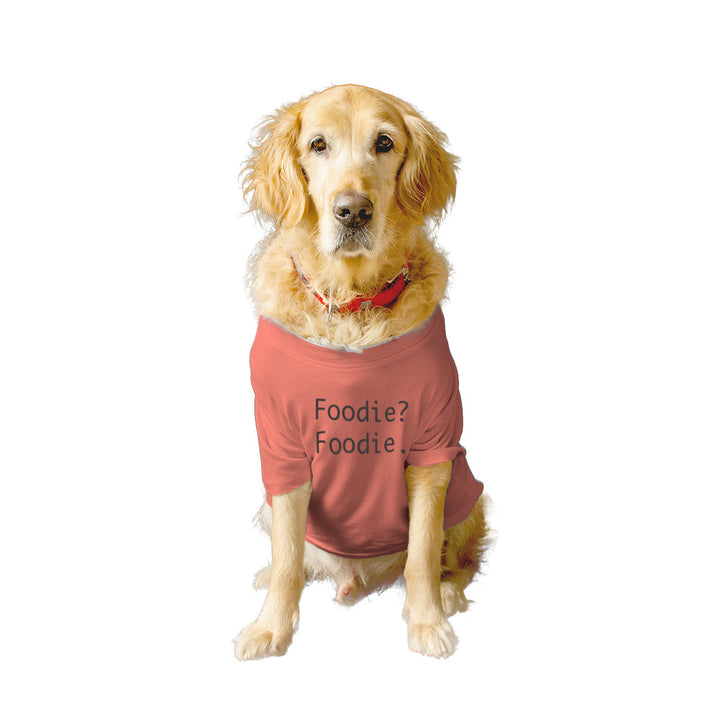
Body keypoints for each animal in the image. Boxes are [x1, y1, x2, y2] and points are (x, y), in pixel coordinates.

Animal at [234, 85, 491, 660]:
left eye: (384, 142)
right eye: (318, 144)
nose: (353, 211)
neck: (351, 304)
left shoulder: (433, 446)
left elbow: (422, 551)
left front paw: (427, 622)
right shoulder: (281, 449)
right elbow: (287, 556)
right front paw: (269, 628)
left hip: (468, 489)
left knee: (457, 558)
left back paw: (449, 592)